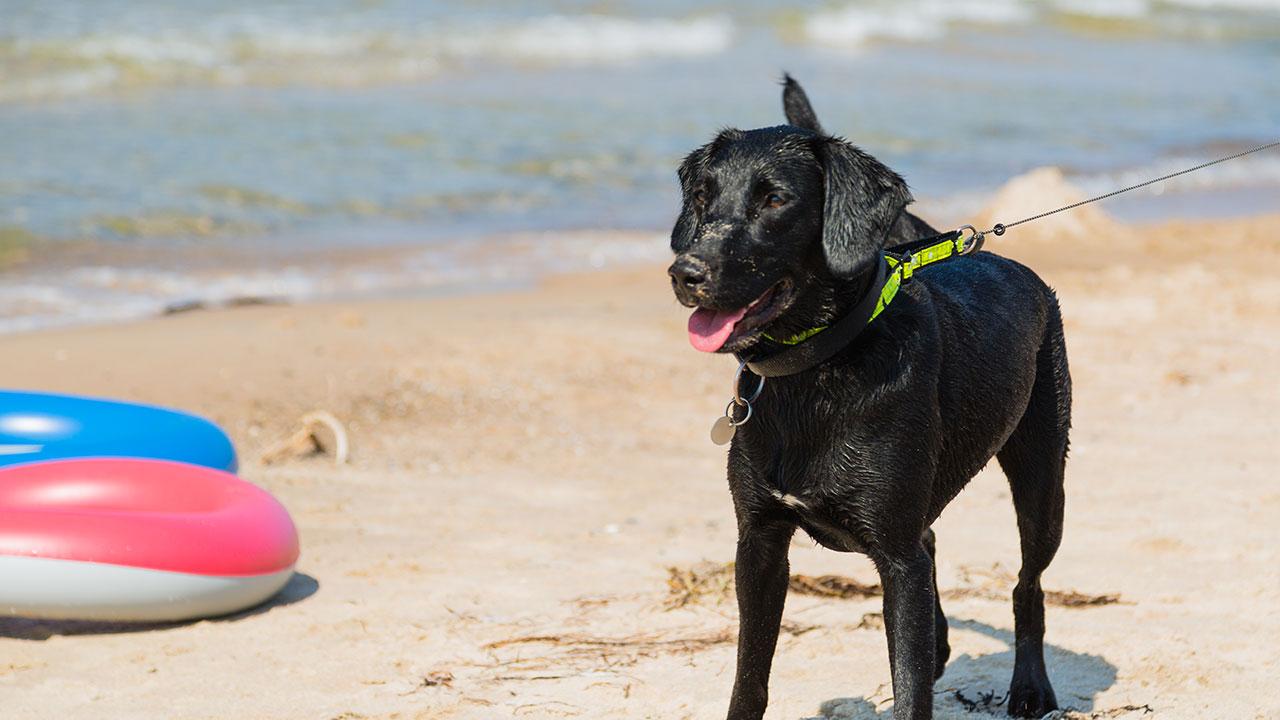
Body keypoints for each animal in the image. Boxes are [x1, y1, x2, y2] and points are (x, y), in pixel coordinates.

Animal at [670, 75, 1070, 712]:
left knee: (1026, 584)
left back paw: (1030, 687)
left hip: (1042, 476)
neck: (819, 371)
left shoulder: (897, 561)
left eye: (774, 200)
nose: (686, 273)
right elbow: (749, 675)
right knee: (934, 542)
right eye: (704, 196)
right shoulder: (758, 541)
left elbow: (909, 687)